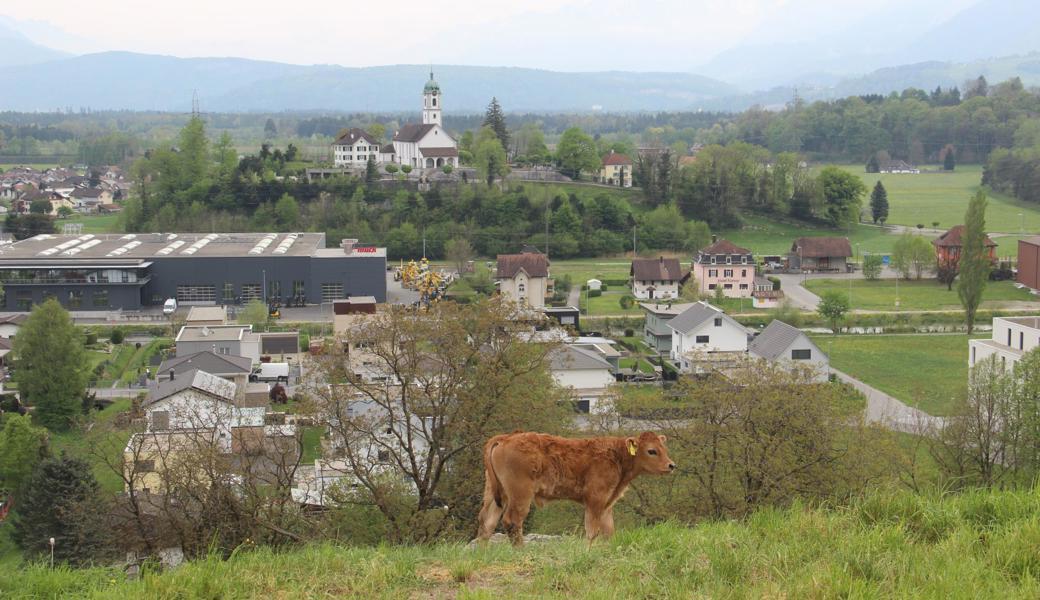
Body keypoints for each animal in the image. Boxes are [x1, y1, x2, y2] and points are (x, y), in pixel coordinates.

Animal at [476, 430, 678, 540]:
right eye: (651, 451)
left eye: (664, 448)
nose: (671, 465)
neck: (616, 456)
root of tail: (505, 438)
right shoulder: (595, 500)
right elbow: (592, 531)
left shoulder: (607, 504)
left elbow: (608, 532)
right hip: (520, 495)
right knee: (512, 522)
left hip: (495, 494)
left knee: (487, 522)